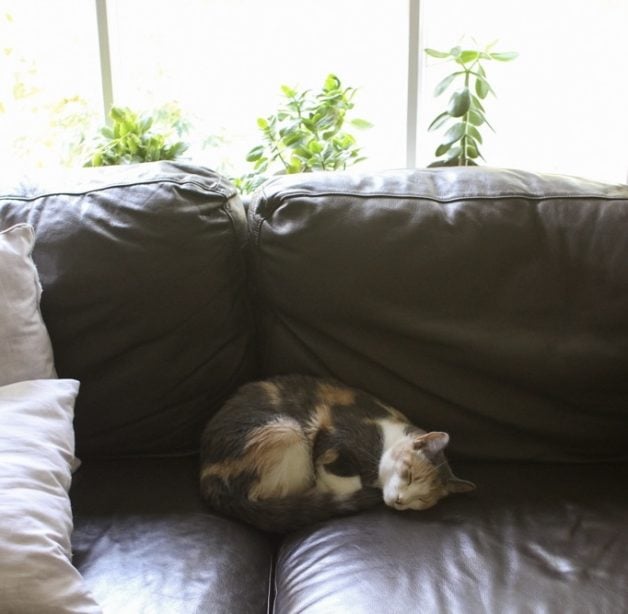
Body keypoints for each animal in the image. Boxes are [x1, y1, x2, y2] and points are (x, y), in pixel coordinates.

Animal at [199, 376, 474, 536]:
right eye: (408, 475)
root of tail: (207, 476)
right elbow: (346, 482)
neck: (385, 434)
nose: (400, 501)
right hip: (287, 430)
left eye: (422, 500)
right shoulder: (333, 438)